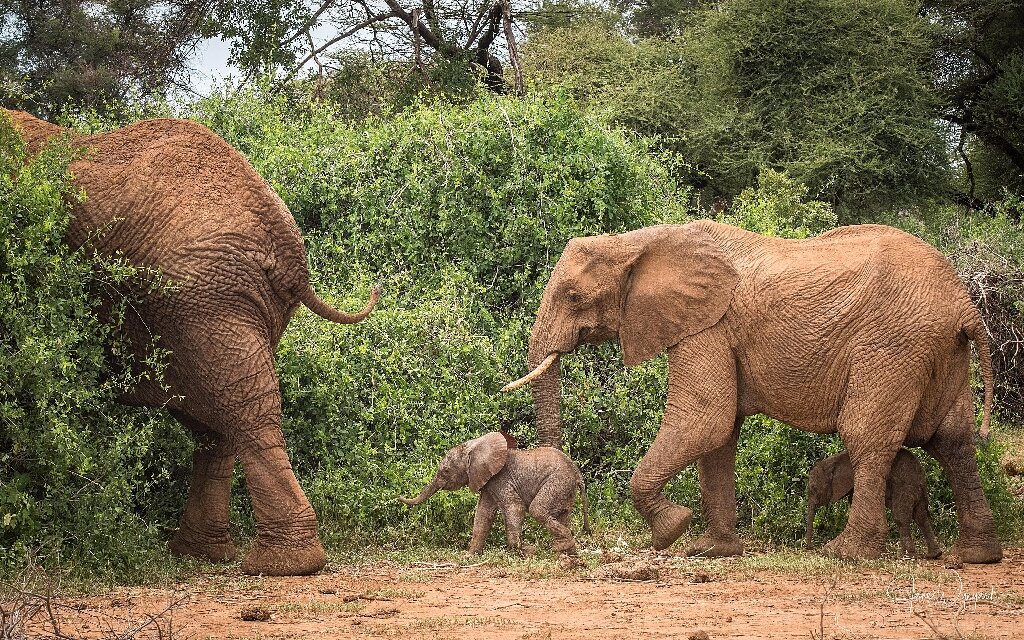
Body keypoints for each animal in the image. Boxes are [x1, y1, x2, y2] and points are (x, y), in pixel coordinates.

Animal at [7, 109, 380, 573]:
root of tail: (286, 245)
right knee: (219, 420)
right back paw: (202, 553)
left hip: (204, 299)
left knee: (242, 411)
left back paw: (281, 564)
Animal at [399, 430, 593, 552]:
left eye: (445, 471)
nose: (399, 497)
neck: (475, 445)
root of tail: (577, 473)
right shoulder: (487, 481)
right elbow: (483, 514)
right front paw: (470, 556)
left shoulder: (501, 479)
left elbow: (515, 507)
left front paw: (526, 550)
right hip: (565, 488)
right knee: (563, 515)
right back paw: (568, 553)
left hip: (557, 482)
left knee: (537, 510)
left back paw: (560, 548)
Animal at [802, 446, 937, 557]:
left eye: (814, 489)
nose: (810, 547)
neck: (834, 460)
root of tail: (921, 479)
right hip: (917, 490)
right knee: (921, 517)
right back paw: (933, 555)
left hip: (905, 488)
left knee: (901, 518)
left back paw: (905, 555)